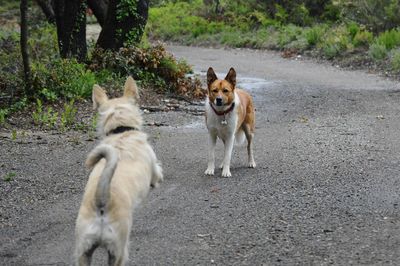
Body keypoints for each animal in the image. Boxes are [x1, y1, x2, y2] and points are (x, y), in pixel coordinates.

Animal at [74, 76, 163, 264]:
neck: (121, 131)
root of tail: (101, 200)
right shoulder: (154, 171)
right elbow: (158, 174)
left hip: (83, 251)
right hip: (118, 250)